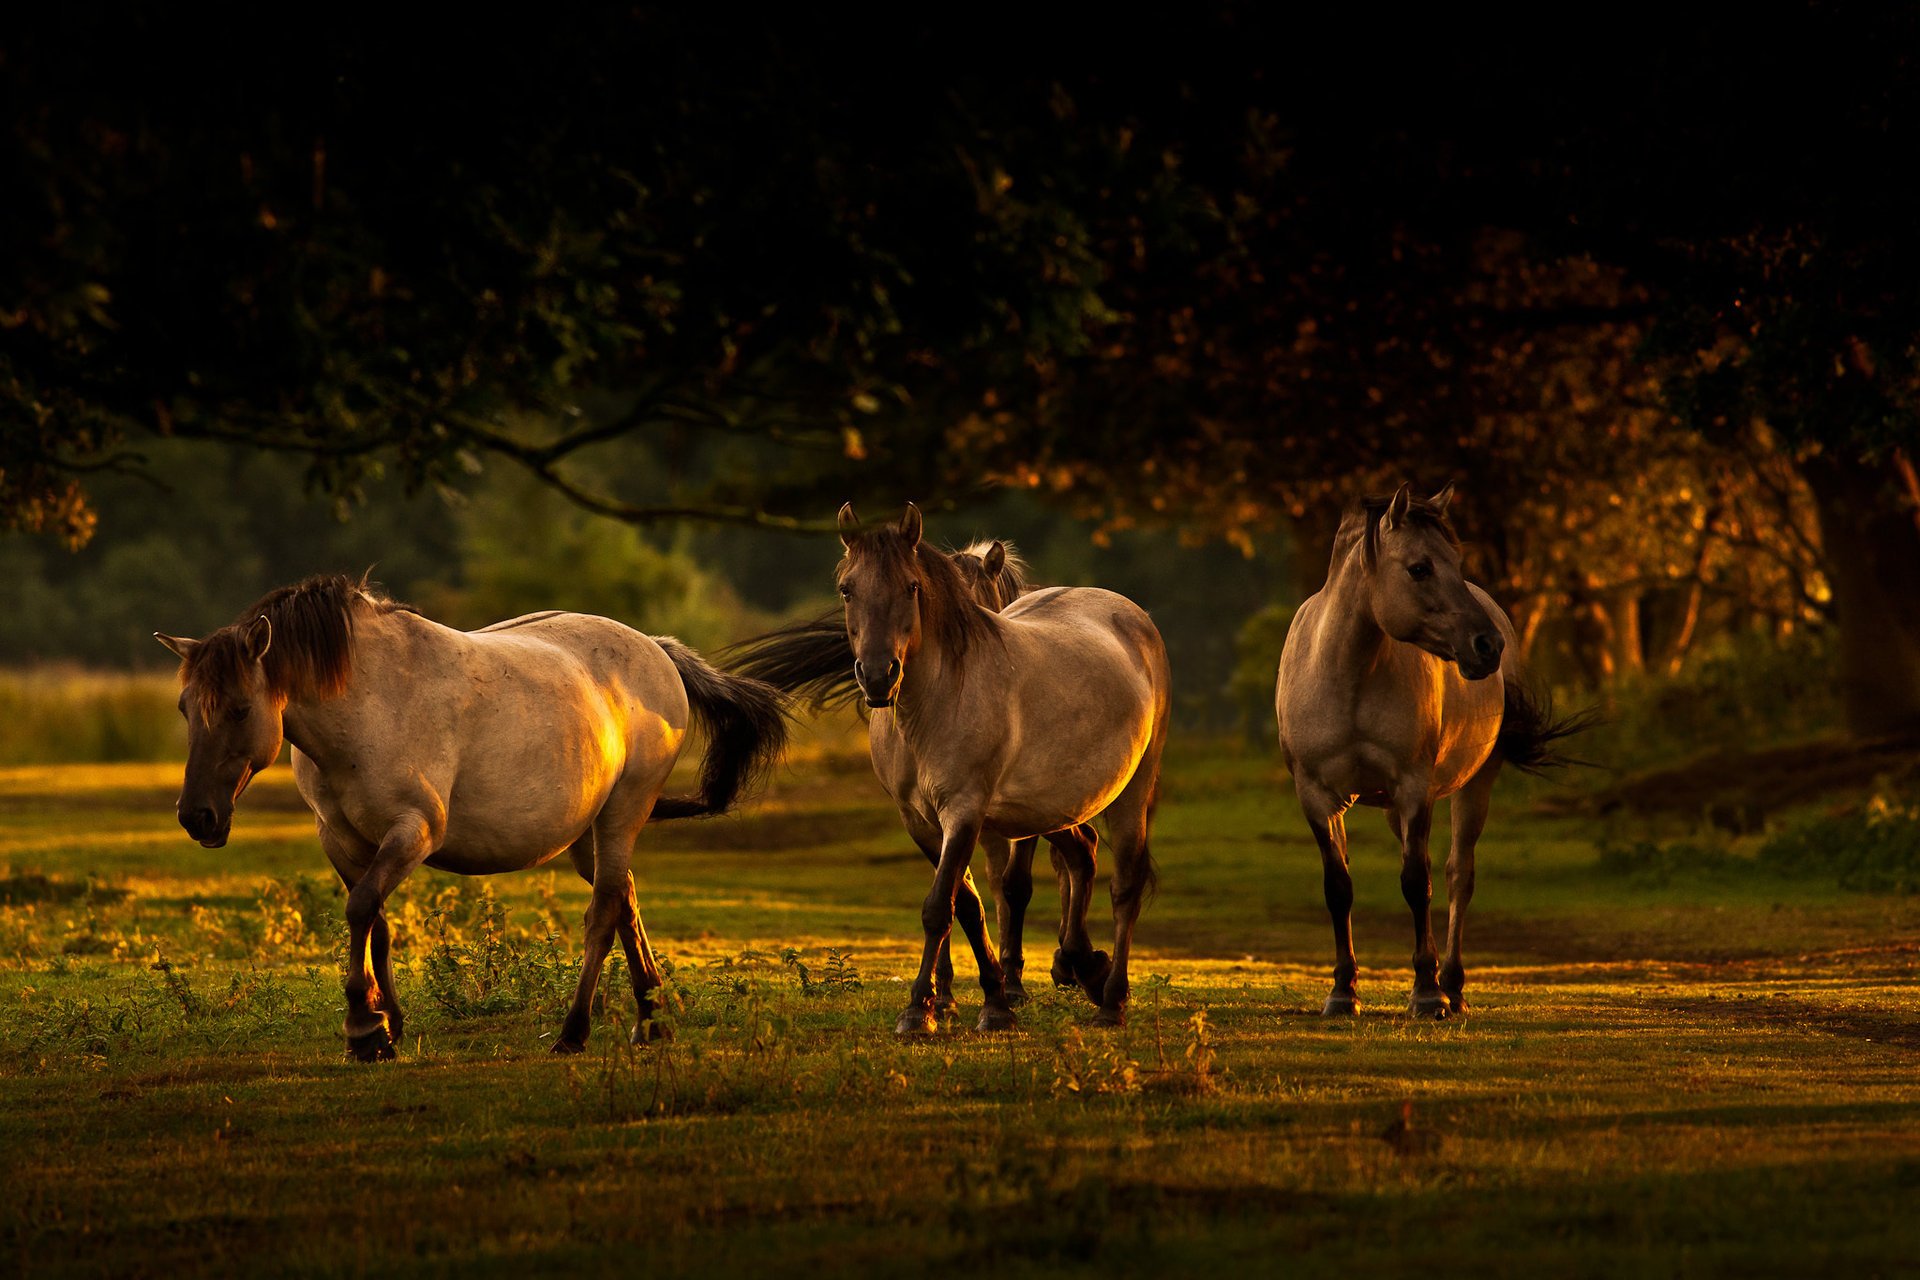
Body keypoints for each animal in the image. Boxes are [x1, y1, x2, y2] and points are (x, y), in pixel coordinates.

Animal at [156, 574, 788, 1061]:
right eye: (184, 708)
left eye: (240, 709)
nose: (197, 817)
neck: (370, 702)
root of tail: (656, 650)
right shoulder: (342, 842)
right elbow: (376, 922)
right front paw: (390, 1027)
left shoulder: (414, 831)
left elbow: (361, 909)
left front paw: (364, 1031)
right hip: (589, 835)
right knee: (625, 900)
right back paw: (650, 1021)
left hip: (622, 814)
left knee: (603, 915)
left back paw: (574, 1032)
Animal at [731, 503, 1170, 1033]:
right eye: (846, 588)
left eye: (911, 587)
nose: (877, 676)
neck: (933, 707)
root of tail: (1133, 617)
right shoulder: (920, 820)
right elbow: (968, 905)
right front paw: (990, 1001)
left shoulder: (965, 810)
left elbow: (941, 906)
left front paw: (920, 1010)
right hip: (1052, 807)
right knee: (1081, 857)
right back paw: (1084, 968)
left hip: (1132, 791)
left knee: (1124, 886)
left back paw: (1111, 1001)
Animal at [1276, 484, 1585, 1019]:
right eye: (1419, 568)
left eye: (1456, 561)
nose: (1487, 646)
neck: (1347, 679)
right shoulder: (1316, 795)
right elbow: (1339, 887)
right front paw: (1342, 991)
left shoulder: (1413, 789)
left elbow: (1417, 882)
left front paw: (1425, 991)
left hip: (1474, 786)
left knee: (1459, 875)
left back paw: (1451, 986)